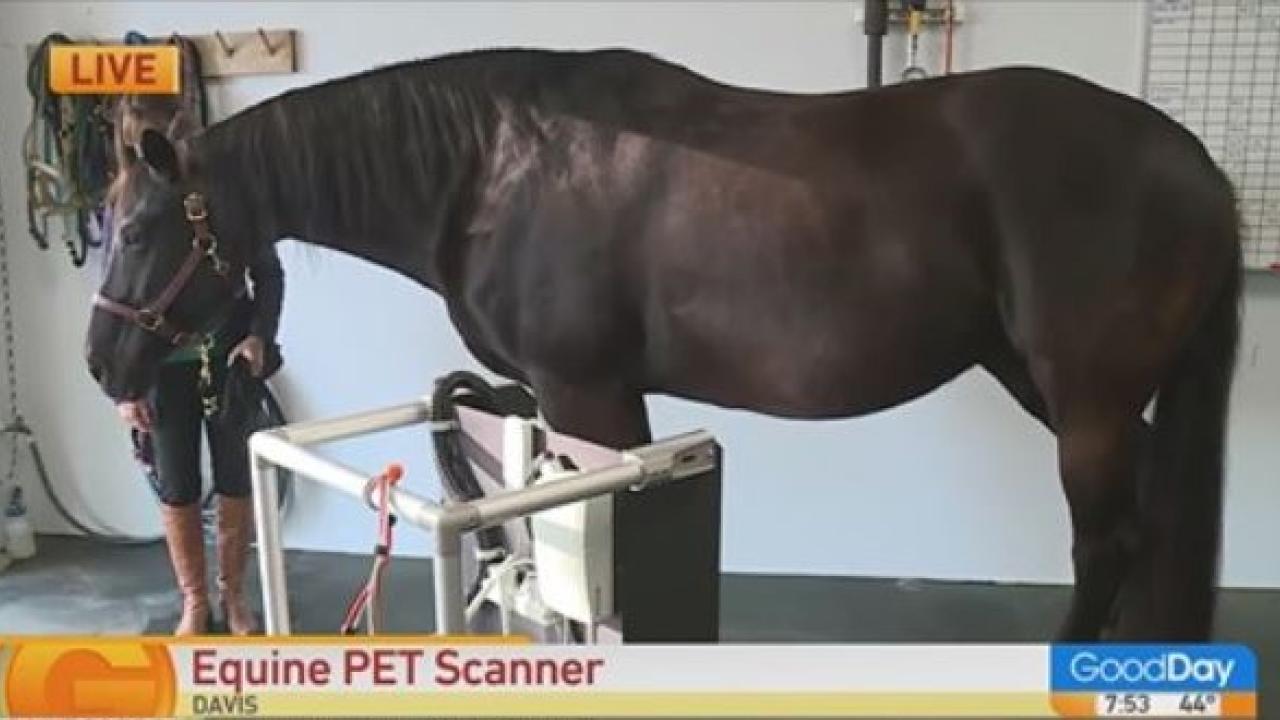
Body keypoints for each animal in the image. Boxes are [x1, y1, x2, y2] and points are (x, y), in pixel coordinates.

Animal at [87, 49, 1239, 638]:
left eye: (138, 230)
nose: (105, 366)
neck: (488, 167)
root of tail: (1191, 163)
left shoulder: (589, 394)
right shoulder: (549, 402)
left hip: (1082, 402)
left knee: (1108, 542)